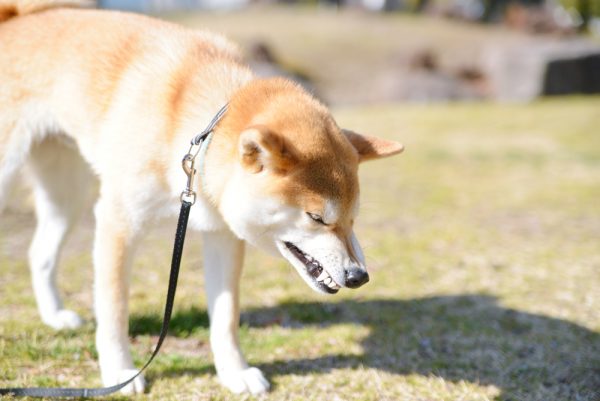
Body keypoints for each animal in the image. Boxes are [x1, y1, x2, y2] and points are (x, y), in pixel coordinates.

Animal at [1, 0, 404, 394]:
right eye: (317, 217)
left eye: (353, 219)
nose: (358, 276)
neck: (193, 133)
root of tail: (15, 21)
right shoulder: (119, 221)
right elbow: (114, 309)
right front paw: (119, 371)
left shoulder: (222, 234)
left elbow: (225, 317)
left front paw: (234, 373)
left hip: (68, 193)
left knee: (40, 252)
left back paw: (55, 316)